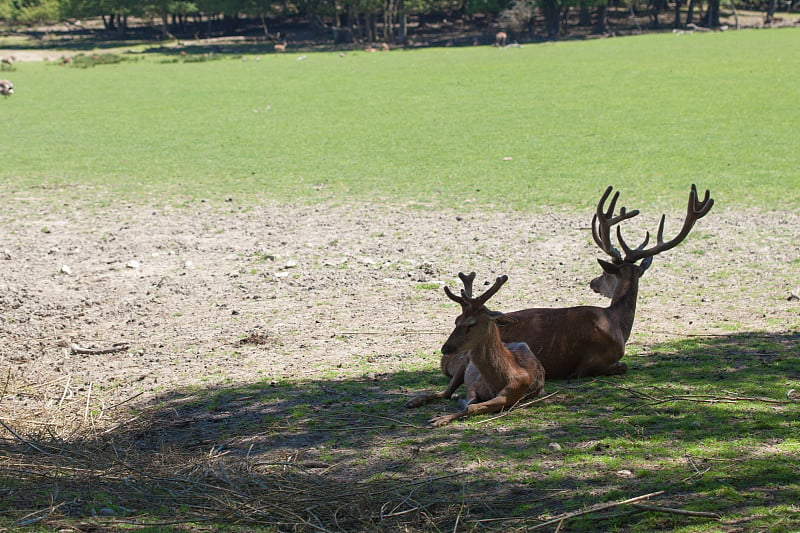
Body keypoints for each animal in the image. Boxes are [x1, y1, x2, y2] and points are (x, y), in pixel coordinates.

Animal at [406, 272, 544, 426]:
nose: (445, 348)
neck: (497, 381)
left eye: (471, 323)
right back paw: (414, 400)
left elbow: (472, 407)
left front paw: (439, 419)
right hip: (463, 364)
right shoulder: (475, 384)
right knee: (446, 392)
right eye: (456, 320)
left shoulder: (514, 393)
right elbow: (470, 402)